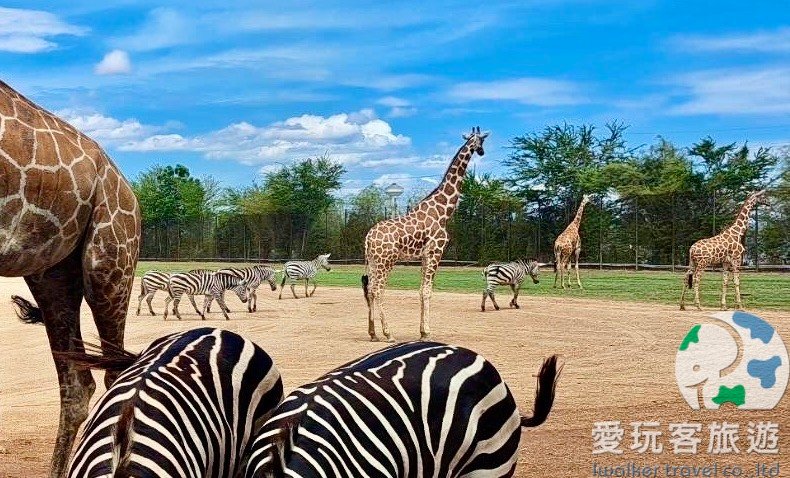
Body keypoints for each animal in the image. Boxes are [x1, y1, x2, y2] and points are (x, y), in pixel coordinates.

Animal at [360, 125, 488, 342]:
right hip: (387, 261)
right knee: (378, 290)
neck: (444, 211)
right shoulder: (436, 251)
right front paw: (427, 332)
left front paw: (421, 332)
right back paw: (388, 333)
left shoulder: (424, 255)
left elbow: (421, 291)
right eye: (481, 140)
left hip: (373, 261)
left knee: (369, 290)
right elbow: (427, 291)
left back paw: (373, 333)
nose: (481, 152)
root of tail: (369, 238)